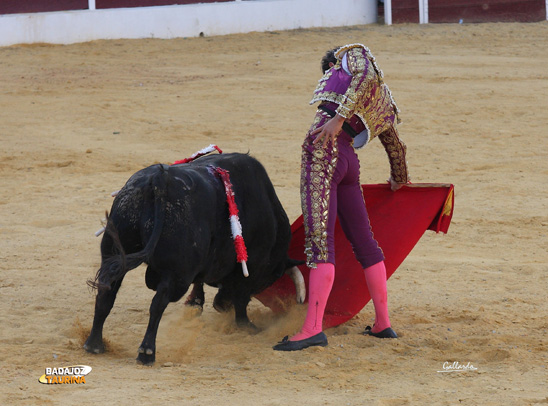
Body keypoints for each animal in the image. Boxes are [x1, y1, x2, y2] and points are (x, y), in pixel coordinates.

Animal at [83, 152, 302, 364]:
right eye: (272, 277)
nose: (221, 305)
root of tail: (159, 180)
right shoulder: (251, 267)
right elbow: (241, 297)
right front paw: (246, 325)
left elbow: (202, 282)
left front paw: (195, 303)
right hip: (176, 273)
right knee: (158, 303)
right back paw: (146, 352)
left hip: (113, 250)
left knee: (106, 293)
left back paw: (94, 344)